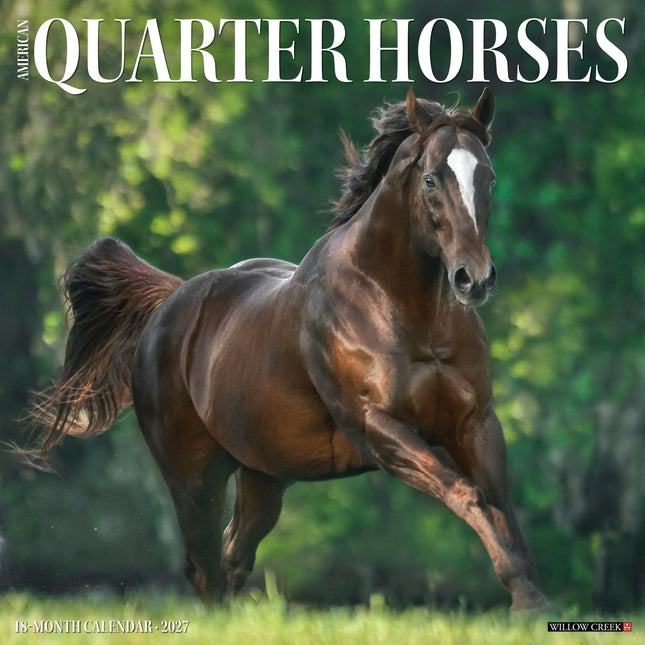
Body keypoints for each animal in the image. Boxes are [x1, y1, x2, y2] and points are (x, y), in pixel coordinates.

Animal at [28, 88, 548, 611]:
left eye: (488, 177)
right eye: (430, 179)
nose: (474, 279)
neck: (401, 309)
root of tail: (170, 302)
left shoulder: (476, 423)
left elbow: (500, 506)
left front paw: (531, 594)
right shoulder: (377, 427)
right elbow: (466, 493)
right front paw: (522, 594)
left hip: (263, 475)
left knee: (233, 556)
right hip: (193, 476)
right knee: (204, 567)